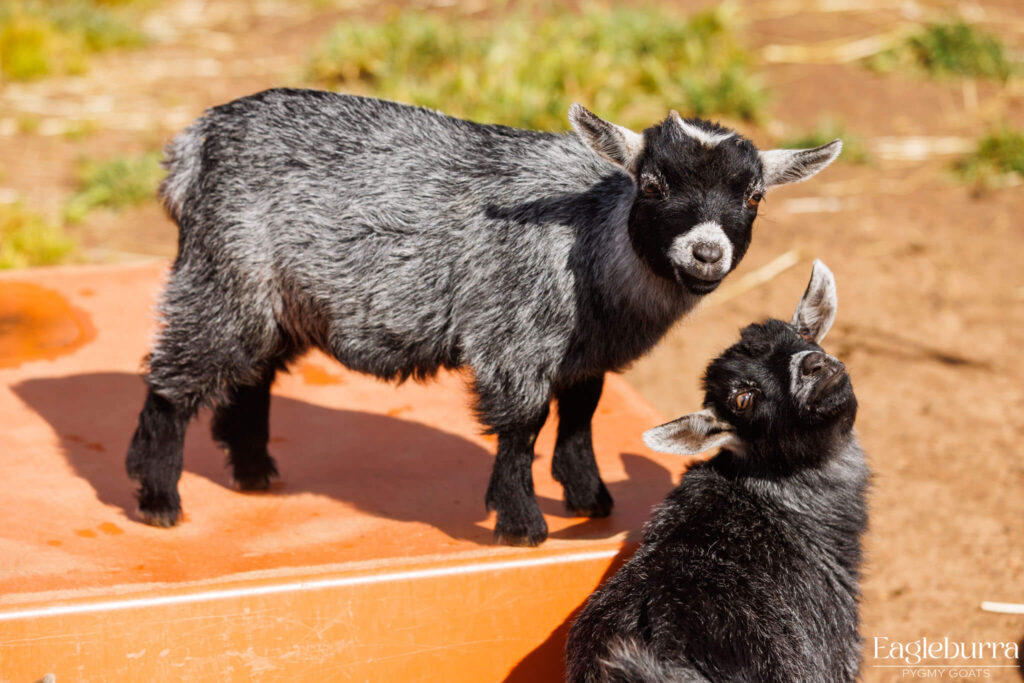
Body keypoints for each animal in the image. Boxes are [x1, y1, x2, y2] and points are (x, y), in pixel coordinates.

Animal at [126, 88, 841, 546]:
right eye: (655, 183)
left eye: (753, 195)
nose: (706, 252)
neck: (589, 240)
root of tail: (194, 146)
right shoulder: (513, 338)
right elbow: (523, 427)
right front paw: (522, 524)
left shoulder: (582, 354)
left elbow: (580, 417)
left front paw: (591, 499)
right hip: (223, 274)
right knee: (175, 375)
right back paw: (158, 497)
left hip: (278, 301)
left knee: (252, 374)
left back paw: (252, 473)